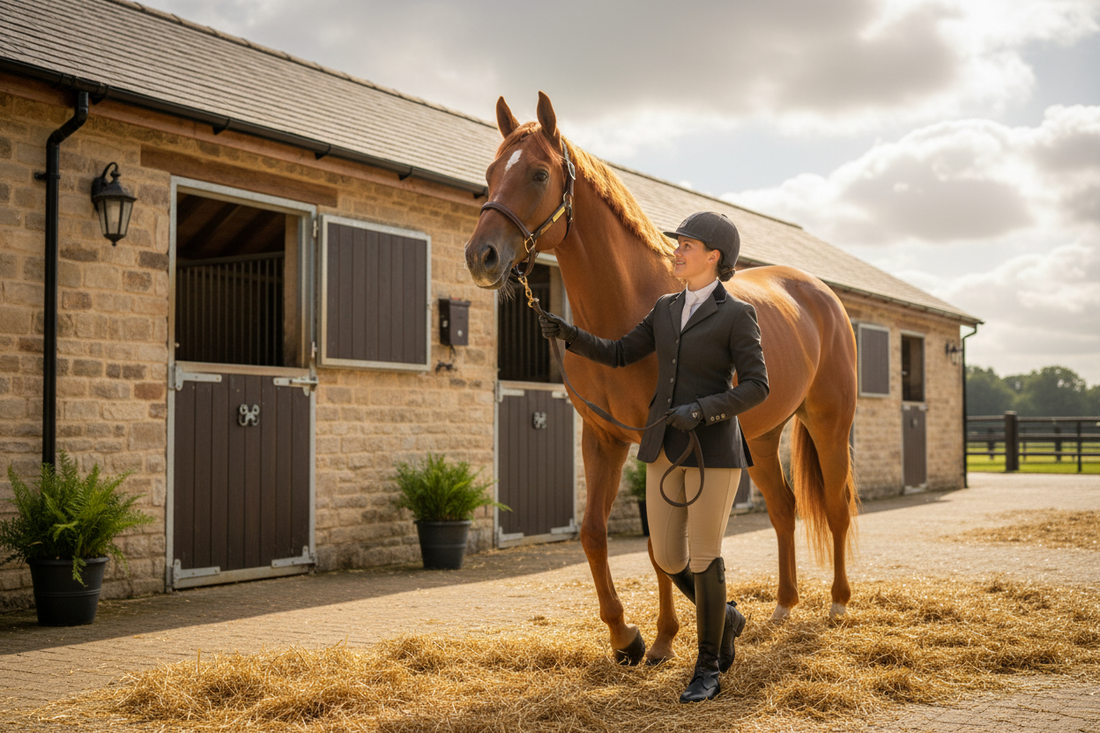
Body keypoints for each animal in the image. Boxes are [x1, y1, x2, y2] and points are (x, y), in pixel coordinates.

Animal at [464, 92, 860, 665]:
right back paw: (784, 605)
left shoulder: (660, 441)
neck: (629, 305)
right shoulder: (603, 438)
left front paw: (665, 637)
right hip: (761, 438)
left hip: (829, 422)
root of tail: (820, 293)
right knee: (784, 511)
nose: (481, 256)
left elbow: (658, 545)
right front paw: (626, 637)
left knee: (834, 507)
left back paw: (837, 603)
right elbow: (596, 534)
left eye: (538, 174)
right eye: (491, 173)